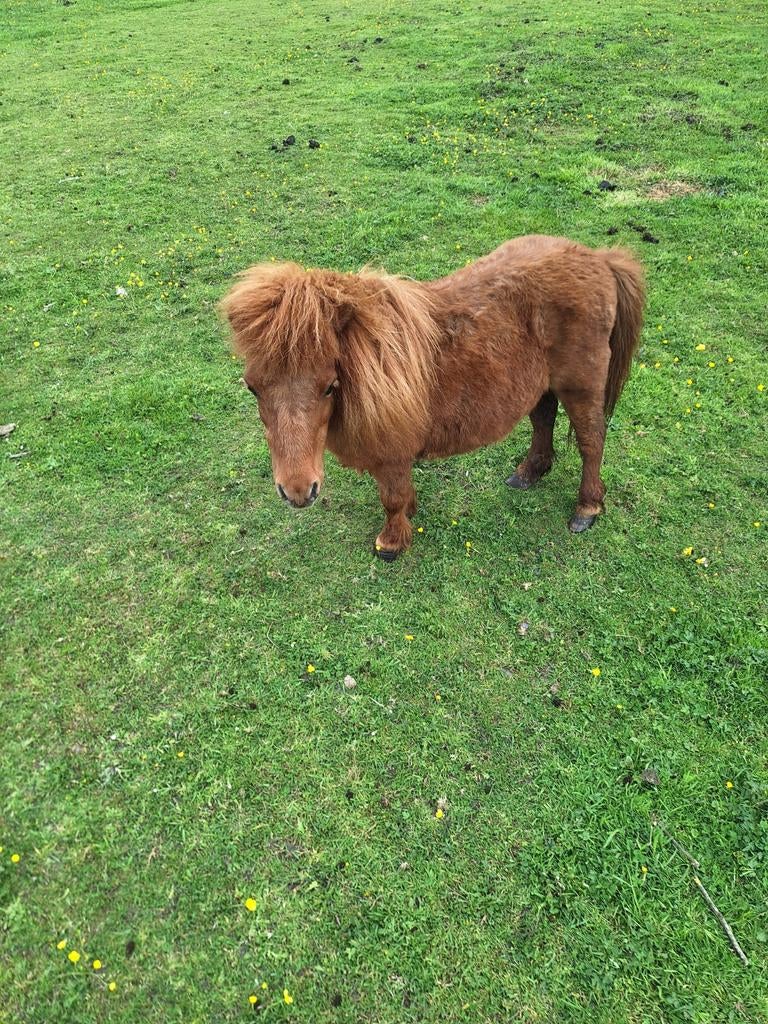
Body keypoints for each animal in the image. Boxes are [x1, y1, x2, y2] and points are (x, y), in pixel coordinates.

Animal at [221, 235, 645, 560]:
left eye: (329, 386)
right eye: (252, 387)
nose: (297, 492)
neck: (369, 366)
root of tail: (599, 259)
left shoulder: (391, 454)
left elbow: (391, 497)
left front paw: (391, 543)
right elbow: (401, 492)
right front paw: (410, 513)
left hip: (582, 385)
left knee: (591, 442)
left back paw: (587, 508)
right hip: (542, 384)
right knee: (543, 420)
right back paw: (528, 474)